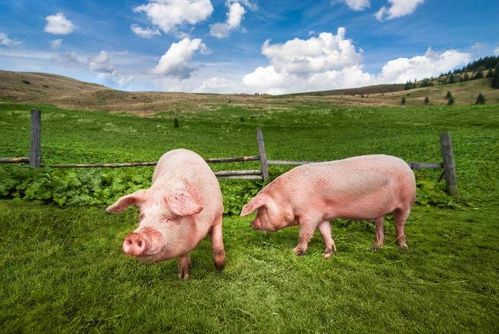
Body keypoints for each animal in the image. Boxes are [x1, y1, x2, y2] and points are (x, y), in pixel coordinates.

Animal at [106, 149, 226, 280]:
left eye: (168, 218)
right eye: (142, 216)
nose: (134, 236)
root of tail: (179, 148)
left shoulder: (218, 214)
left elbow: (218, 245)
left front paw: (220, 267)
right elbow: (183, 253)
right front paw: (183, 277)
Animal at [242, 155, 418, 258]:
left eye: (261, 209)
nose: (251, 223)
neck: (288, 198)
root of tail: (407, 166)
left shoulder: (310, 215)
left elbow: (304, 234)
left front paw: (294, 252)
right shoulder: (322, 215)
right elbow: (325, 232)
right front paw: (327, 254)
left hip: (406, 202)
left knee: (399, 224)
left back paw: (403, 247)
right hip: (380, 211)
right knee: (380, 226)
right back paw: (375, 248)